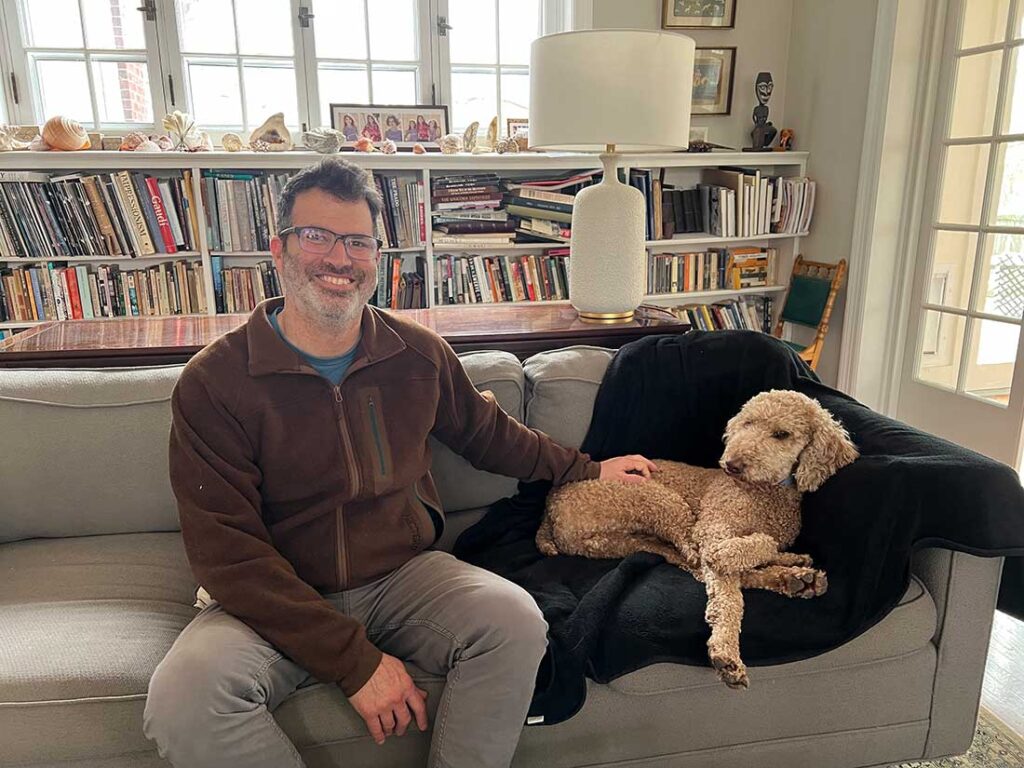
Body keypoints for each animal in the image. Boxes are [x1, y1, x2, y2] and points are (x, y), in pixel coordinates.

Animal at [540, 391, 860, 692]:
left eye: (782, 434)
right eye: (747, 423)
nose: (732, 464)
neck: (765, 492)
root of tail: (551, 504)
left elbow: (751, 557)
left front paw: (786, 563)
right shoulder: (712, 529)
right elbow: (730, 590)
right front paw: (726, 653)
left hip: (625, 540)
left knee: (689, 561)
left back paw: (796, 576)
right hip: (659, 500)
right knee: (699, 562)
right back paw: (789, 575)